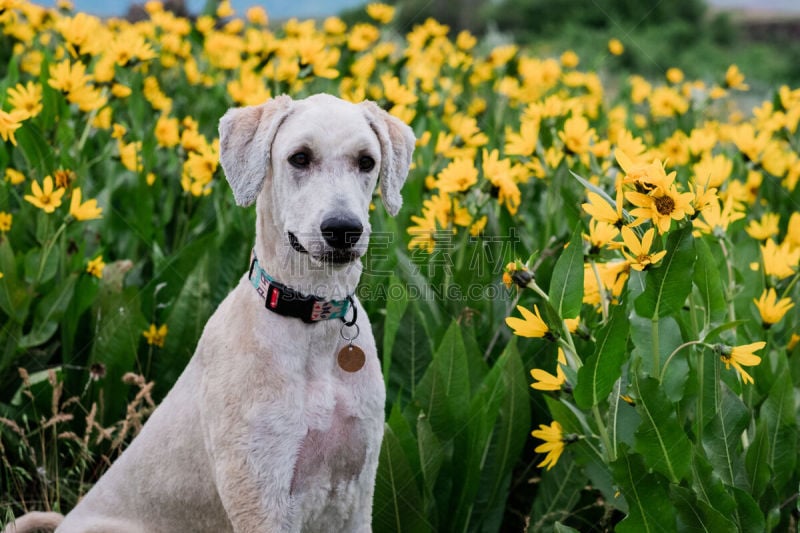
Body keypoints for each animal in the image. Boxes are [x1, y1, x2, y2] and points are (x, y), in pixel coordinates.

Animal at [6, 93, 416, 528]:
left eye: (367, 161)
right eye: (300, 158)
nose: (343, 229)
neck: (311, 319)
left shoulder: (356, 494)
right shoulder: (261, 494)